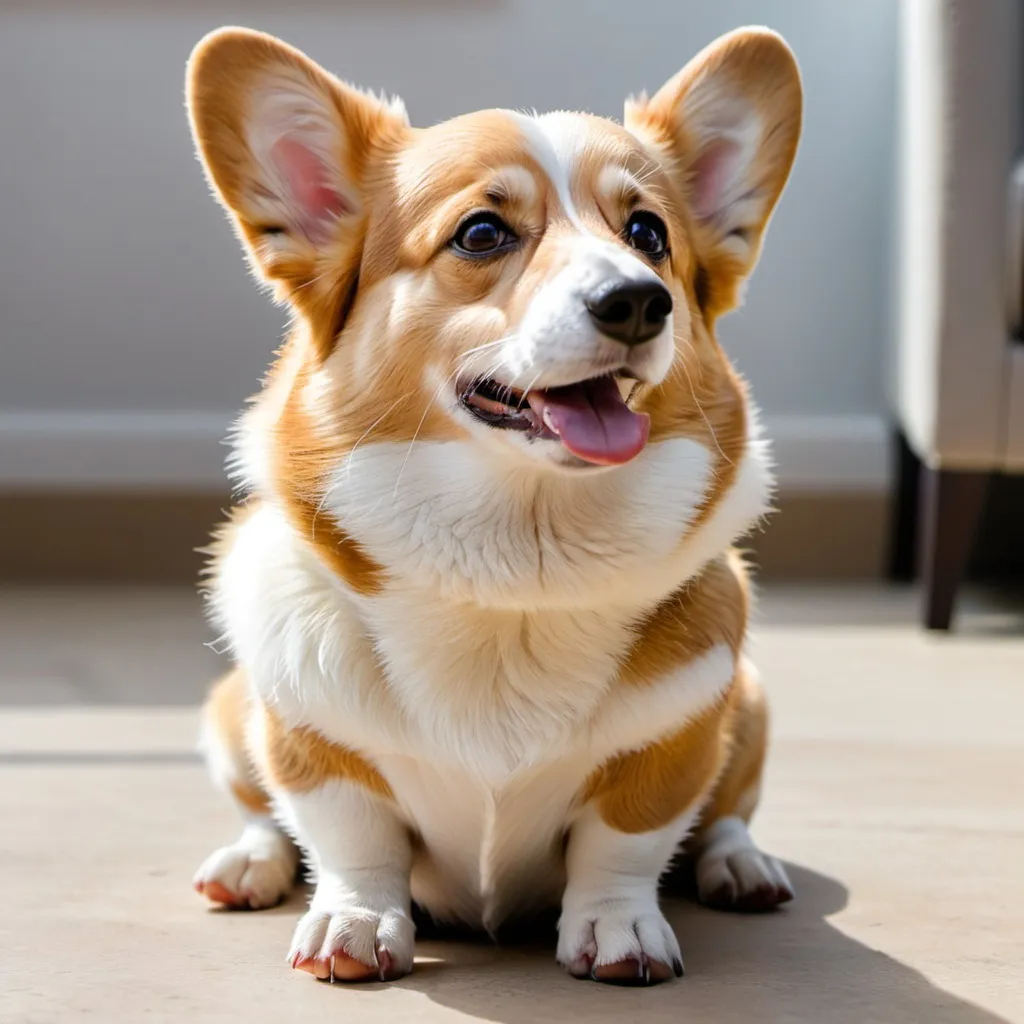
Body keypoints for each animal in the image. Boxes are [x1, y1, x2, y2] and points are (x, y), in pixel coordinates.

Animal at [188, 22, 802, 983]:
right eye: (481, 232)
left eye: (648, 233)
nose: (638, 300)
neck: (517, 573)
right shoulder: (309, 742)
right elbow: (351, 838)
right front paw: (355, 924)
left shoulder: (675, 742)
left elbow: (624, 843)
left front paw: (620, 931)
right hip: (230, 711)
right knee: (263, 812)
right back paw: (248, 862)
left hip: (750, 707)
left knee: (727, 815)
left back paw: (741, 866)